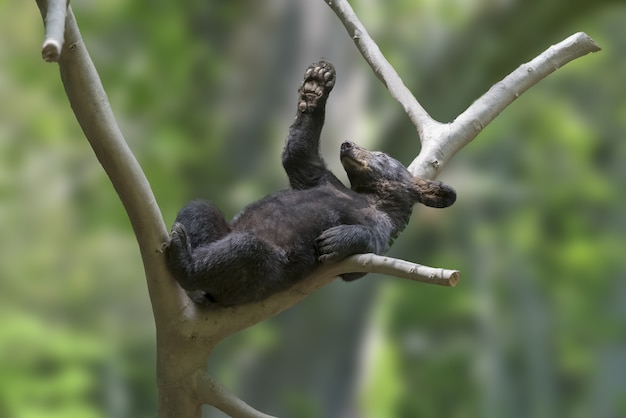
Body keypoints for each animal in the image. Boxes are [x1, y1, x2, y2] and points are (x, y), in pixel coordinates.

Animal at [167, 60, 454, 306]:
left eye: (381, 155)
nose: (347, 144)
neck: (366, 196)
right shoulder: (321, 180)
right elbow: (299, 156)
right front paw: (315, 85)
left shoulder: (383, 224)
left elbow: (364, 261)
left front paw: (338, 239)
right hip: (223, 231)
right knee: (200, 209)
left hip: (266, 273)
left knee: (246, 251)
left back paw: (185, 264)